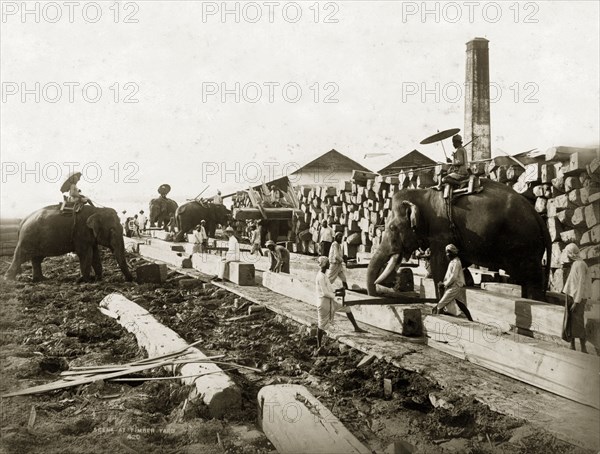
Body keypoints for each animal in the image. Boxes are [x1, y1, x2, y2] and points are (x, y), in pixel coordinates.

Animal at [4, 205, 133, 282]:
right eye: (112, 230)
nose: (131, 280)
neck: (96, 210)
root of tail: (23, 221)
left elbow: (95, 254)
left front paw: (98, 278)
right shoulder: (81, 233)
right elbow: (86, 254)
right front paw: (85, 280)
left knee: (37, 259)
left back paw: (41, 279)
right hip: (27, 238)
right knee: (20, 257)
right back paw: (8, 280)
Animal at [364, 179, 552, 300]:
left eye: (392, 228)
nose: (376, 294)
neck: (424, 193)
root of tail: (538, 216)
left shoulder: (441, 230)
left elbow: (440, 264)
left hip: (524, 244)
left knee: (532, 278)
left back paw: (534, 300)